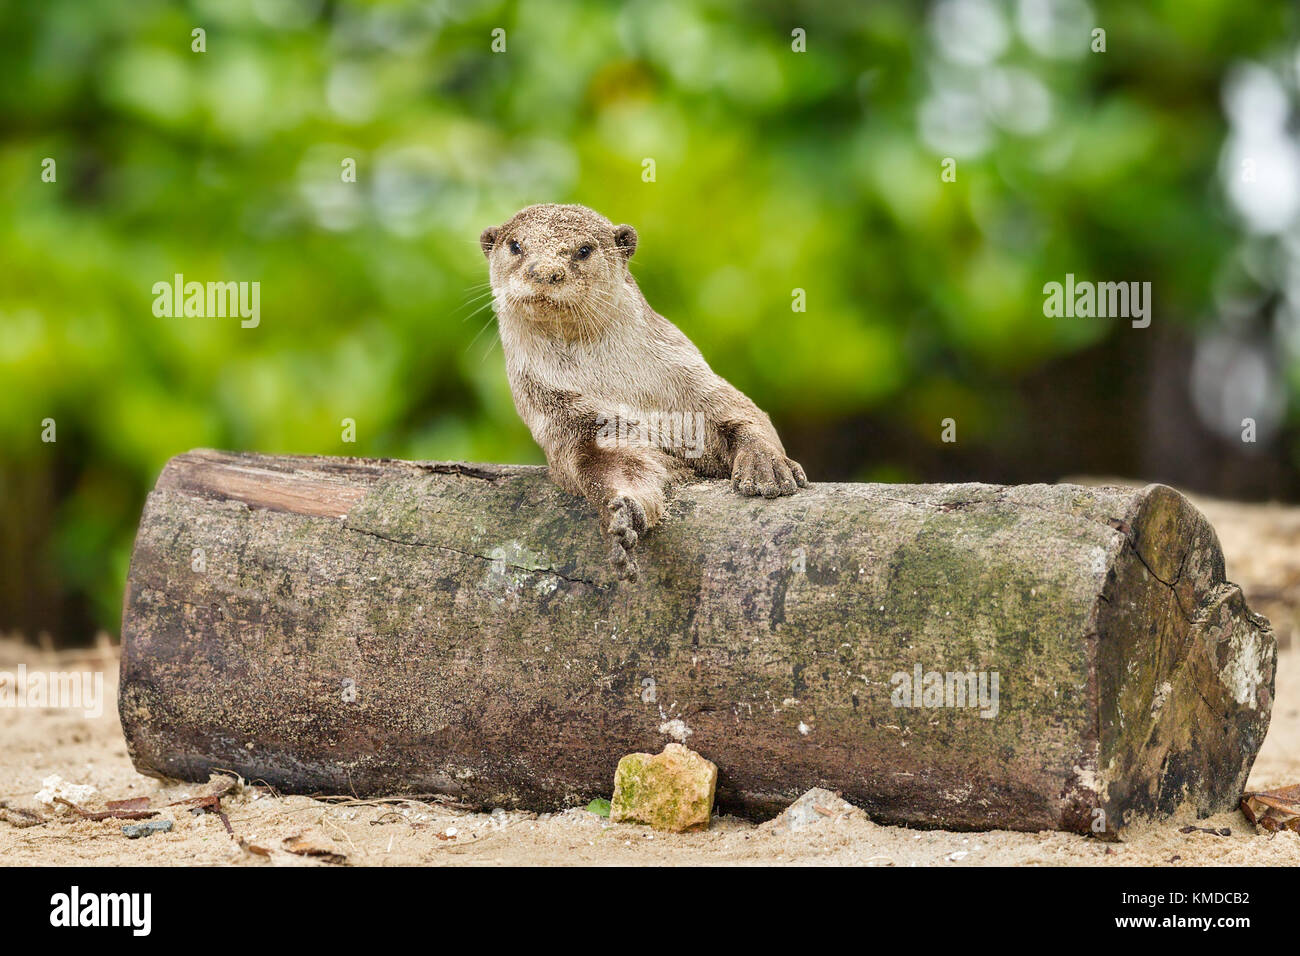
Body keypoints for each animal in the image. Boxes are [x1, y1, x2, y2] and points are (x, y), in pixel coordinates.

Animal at [480, 203, 807, 581]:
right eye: (516, 245)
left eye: (584, 250)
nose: (545, 271)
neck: (622, 389)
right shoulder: (573, 423)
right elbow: (619, 468)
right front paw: (622, 515)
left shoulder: (698, 383)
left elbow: (746, 418)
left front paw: (766, 468)